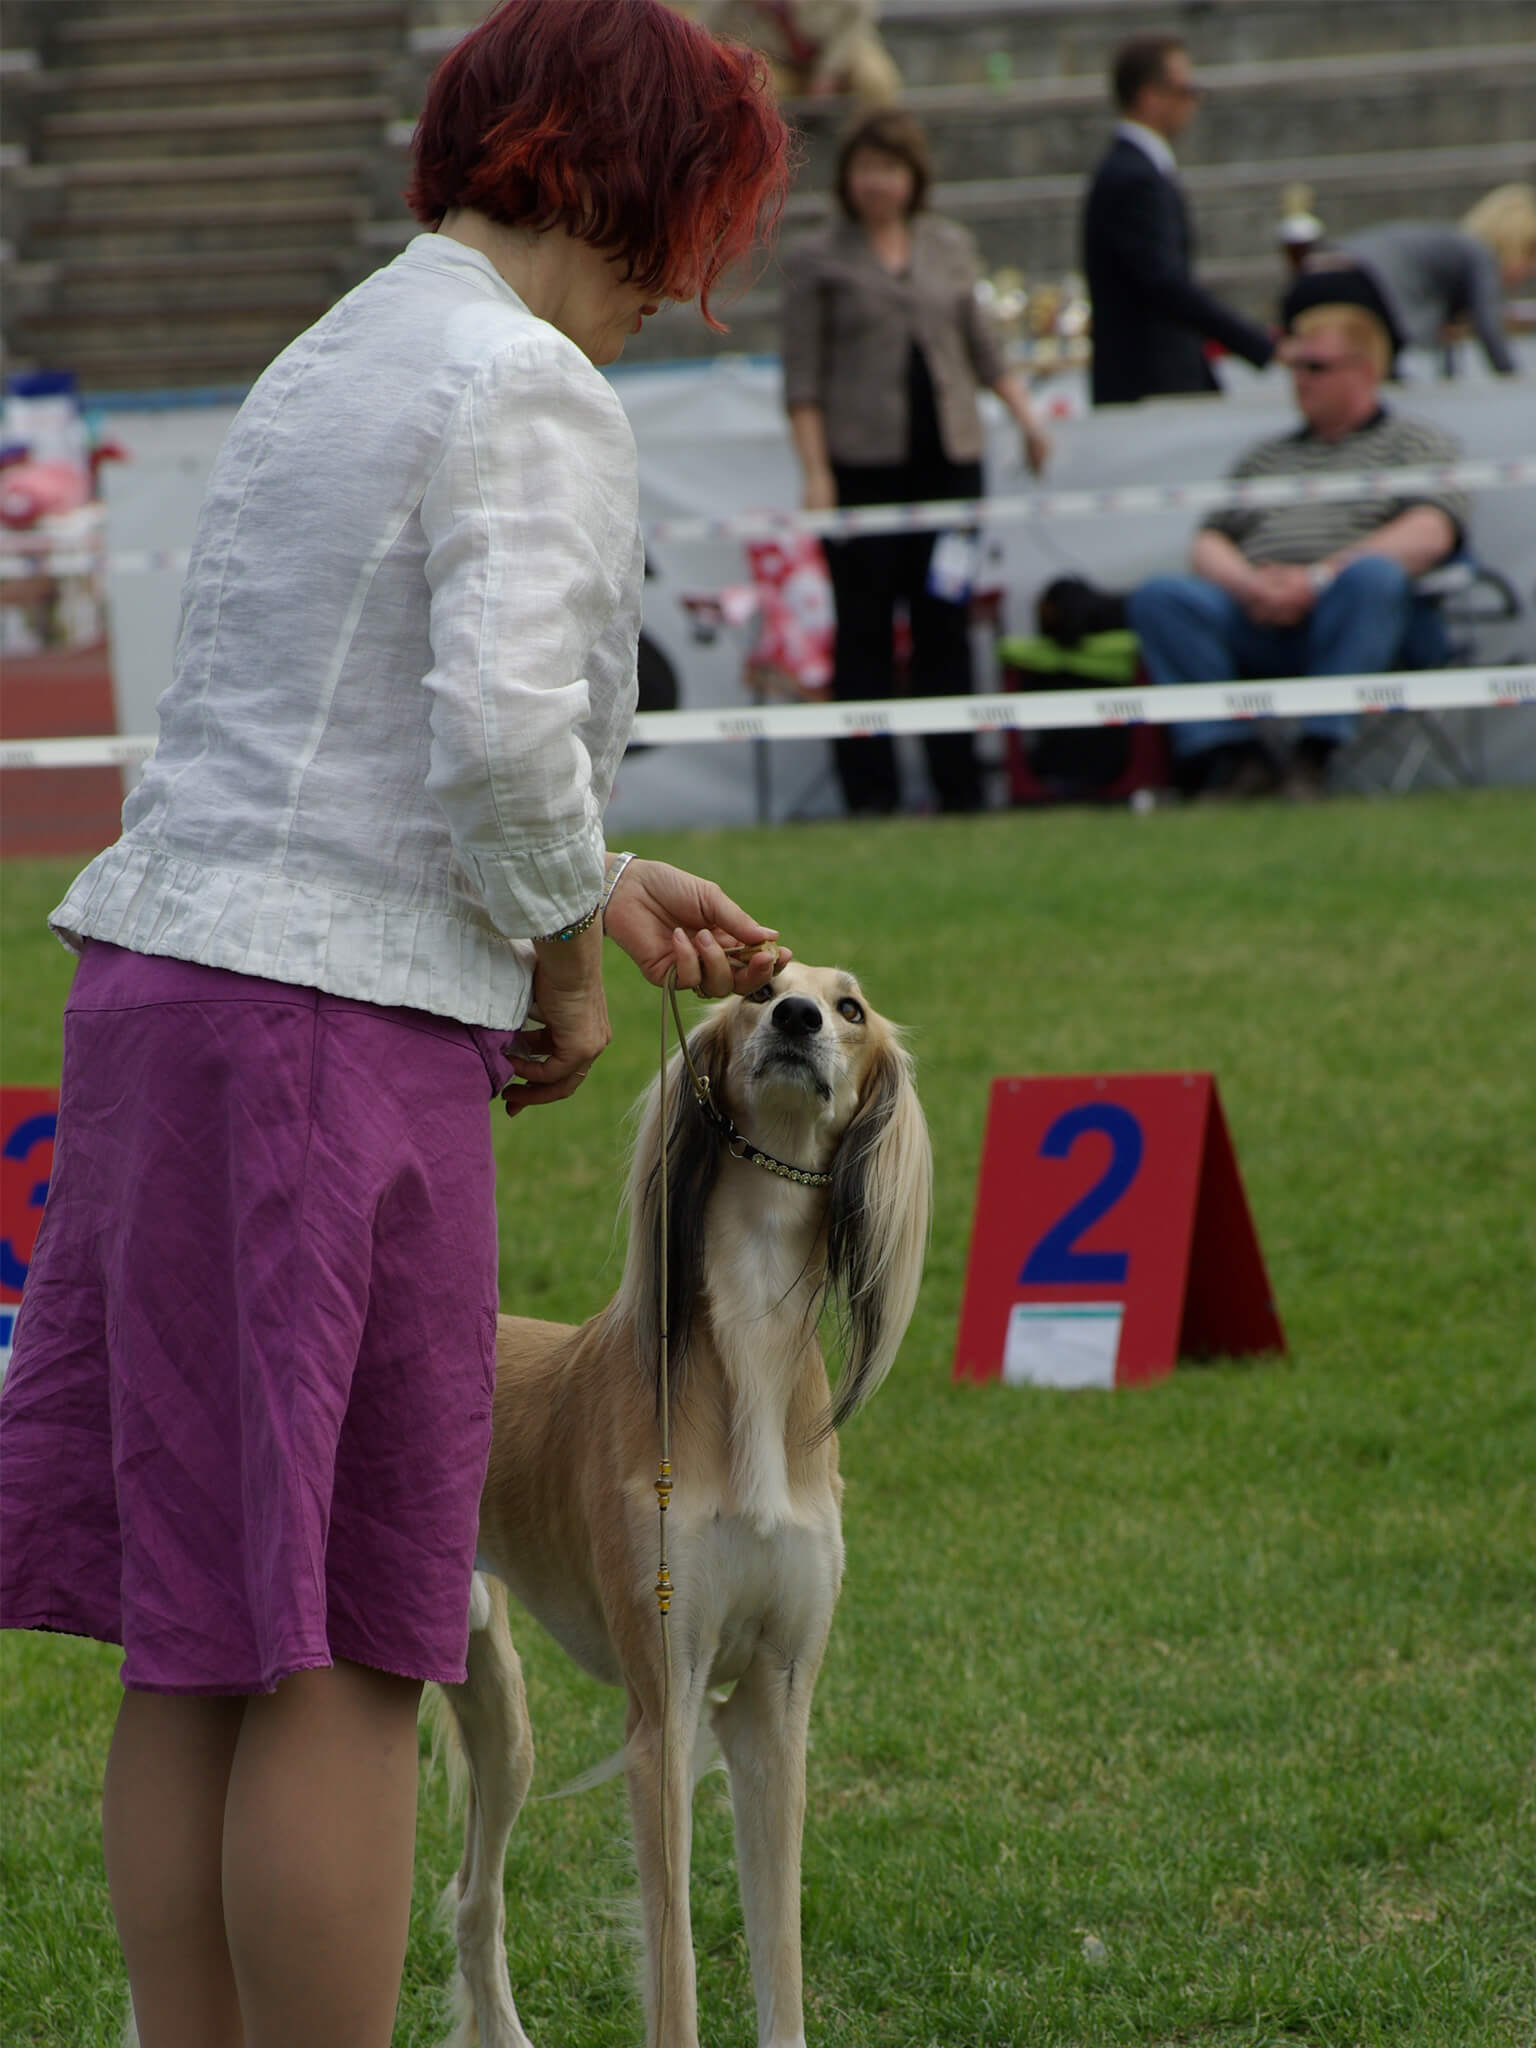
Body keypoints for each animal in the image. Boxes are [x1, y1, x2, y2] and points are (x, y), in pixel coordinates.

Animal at [438, 962, 933, 2048]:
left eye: (851, 1007)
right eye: (759, 986)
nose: (796, 1017)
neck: (750, 1344)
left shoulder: (776, 1702)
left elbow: (779, 1954)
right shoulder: (663, 1705)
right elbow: (676, 1970)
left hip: (499, 1708)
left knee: (473, 1898)